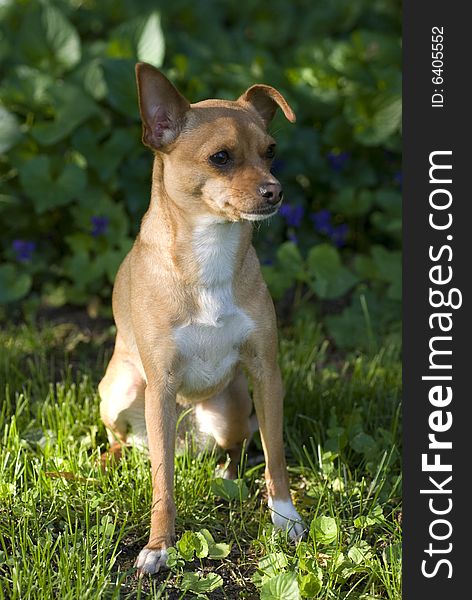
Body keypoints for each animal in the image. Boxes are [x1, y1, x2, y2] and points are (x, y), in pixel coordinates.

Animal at [99, 63, 306, 576]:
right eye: (221, 158)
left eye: (271, 152)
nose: (276, 190)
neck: (211, 251)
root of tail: (186, 427)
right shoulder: (161, 384)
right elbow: (163, 487)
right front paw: (159, 547)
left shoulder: (266, 373)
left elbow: (275, 457)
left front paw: (285, 518)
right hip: (123, 391)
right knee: (125, 440)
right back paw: (111, 458)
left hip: (229, 412)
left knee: (235, 448)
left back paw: (225, 476)